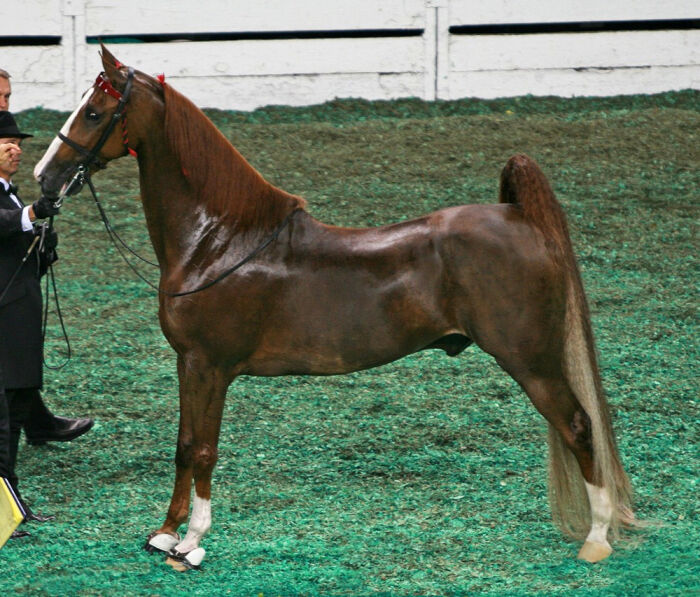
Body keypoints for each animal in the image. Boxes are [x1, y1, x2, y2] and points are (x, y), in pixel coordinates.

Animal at [34, 47, 636, 568]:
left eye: (94, 111)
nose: (44, 179)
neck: (218, 240)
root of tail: (522, 218)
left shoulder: (209, 366)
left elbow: (204, 449)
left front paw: (193, 543)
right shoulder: (188, 364)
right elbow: (184, 446)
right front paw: (164, 533)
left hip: (531, 360)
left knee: (579, 427)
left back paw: (597, 539)